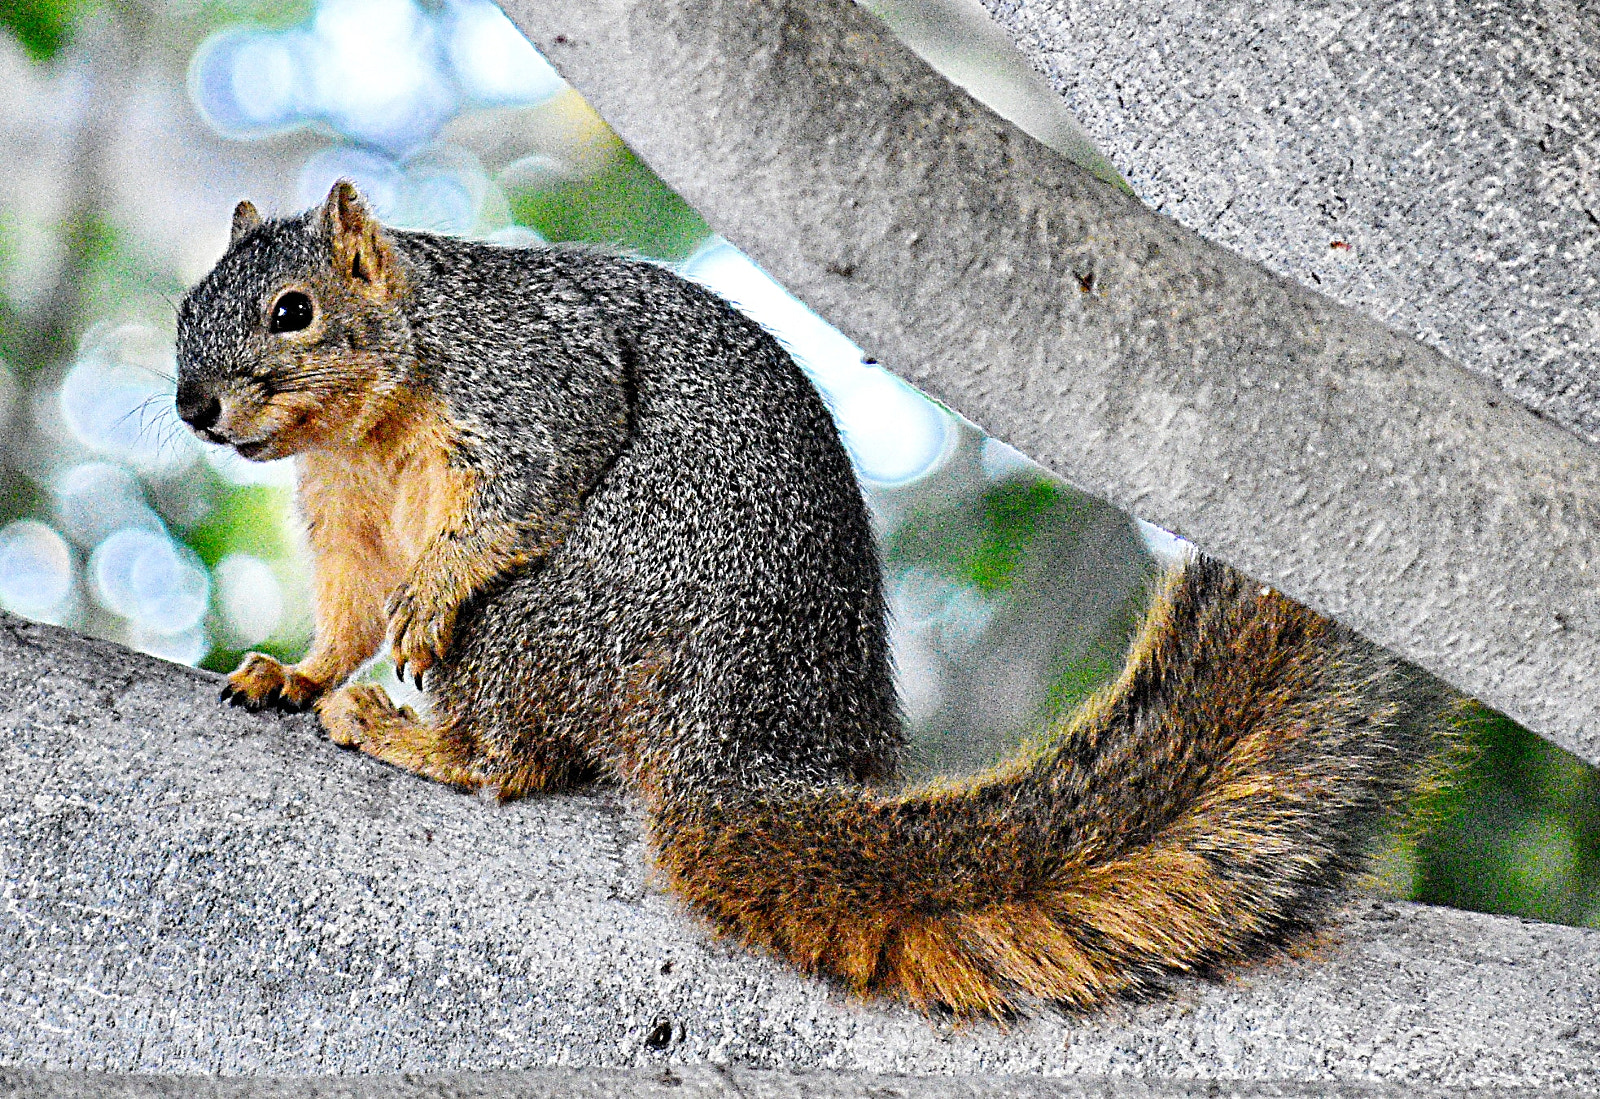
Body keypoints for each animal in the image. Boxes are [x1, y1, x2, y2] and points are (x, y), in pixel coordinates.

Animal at [174, 180, 1456, 1019]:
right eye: (187, 312)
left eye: (291, 309)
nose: (193, 407)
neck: (369, 426)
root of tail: (736, 737)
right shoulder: (343, 515)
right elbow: (346, 611)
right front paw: (293, 670)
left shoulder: (533, 379)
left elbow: (528, 488)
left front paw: (427, 598)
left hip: (557, 614)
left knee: (514, 759)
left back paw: (423, 735)